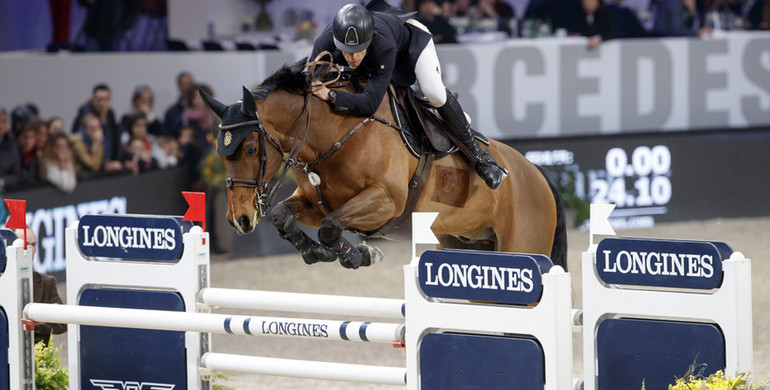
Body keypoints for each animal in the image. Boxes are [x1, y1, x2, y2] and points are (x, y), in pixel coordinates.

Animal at [201, 58, 568, 270]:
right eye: (220, 153)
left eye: (251, 148)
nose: (240, 219)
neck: (333, 133)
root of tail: (537, 172)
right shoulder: (317, 202)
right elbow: (283, 216)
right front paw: (318, 253)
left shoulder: (386, 202)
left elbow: (331, 227)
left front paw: (359, 255)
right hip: (465, 241)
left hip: (522, 244)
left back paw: (491, 170)